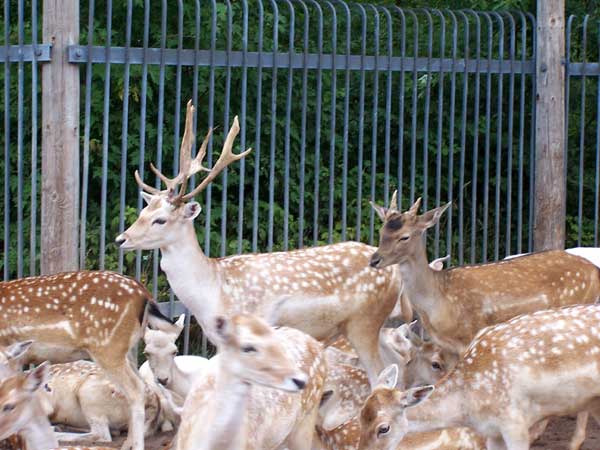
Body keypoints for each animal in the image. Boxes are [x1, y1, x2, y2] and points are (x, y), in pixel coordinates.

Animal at [116, 102, 408, 386]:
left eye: (160, 220)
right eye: (143, 212)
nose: (121, 239)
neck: (213, 290)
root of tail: (395, 274)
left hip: (364, 323)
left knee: (380, 374)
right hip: (378, 325)